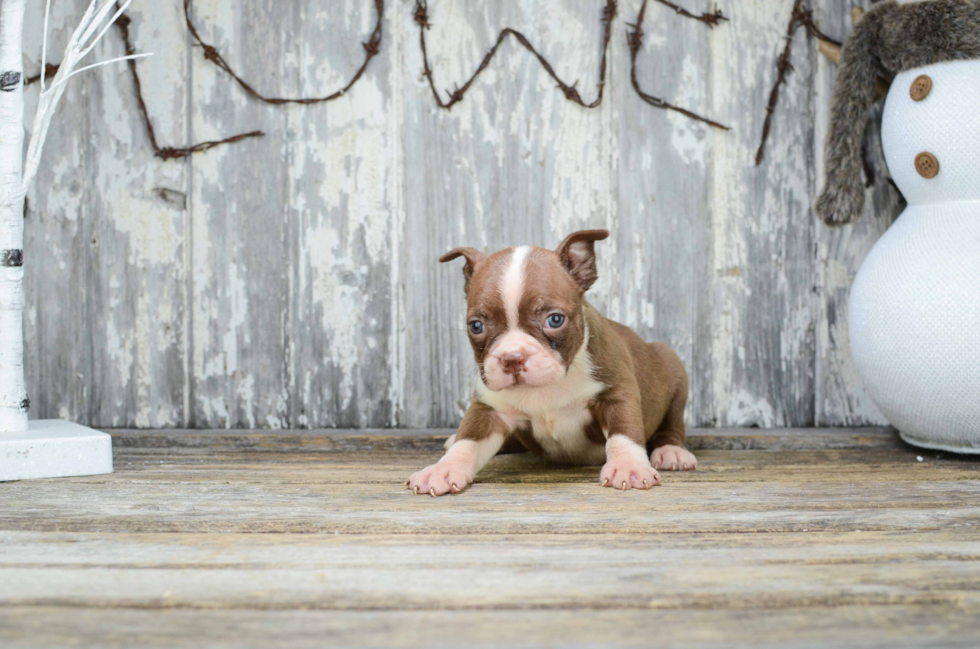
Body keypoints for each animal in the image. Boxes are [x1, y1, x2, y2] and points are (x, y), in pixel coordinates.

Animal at [406, 229, 696, 496]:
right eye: (476, 326)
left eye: (555, 320)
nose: (512, 357)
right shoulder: (488, 409)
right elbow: (467, 441)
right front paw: (442, 469)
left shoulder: (616, 392)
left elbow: (623, 433)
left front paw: (628, 466)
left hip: (674, 370)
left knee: (672, 423)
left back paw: (671, 451)